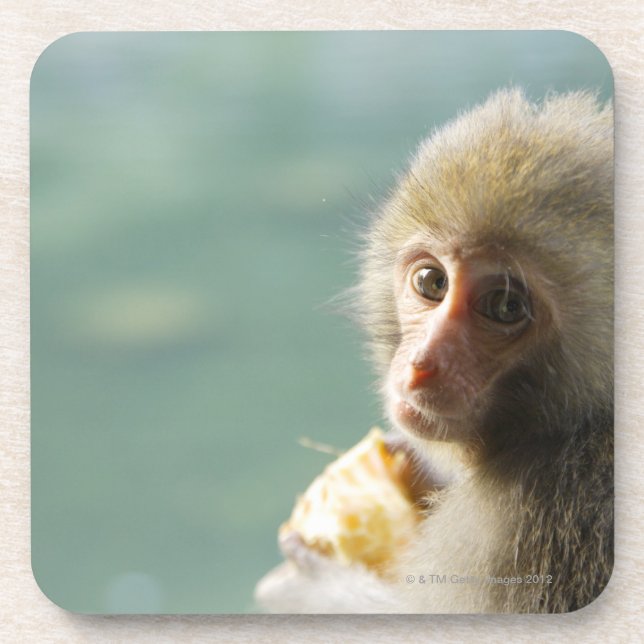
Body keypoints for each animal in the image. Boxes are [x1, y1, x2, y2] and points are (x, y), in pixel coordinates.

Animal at [255, 88, 614, 613]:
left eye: (506, 306)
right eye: (432, 282)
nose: (421, 365)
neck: (568, 431)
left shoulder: (524, 521)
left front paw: (305, 587)